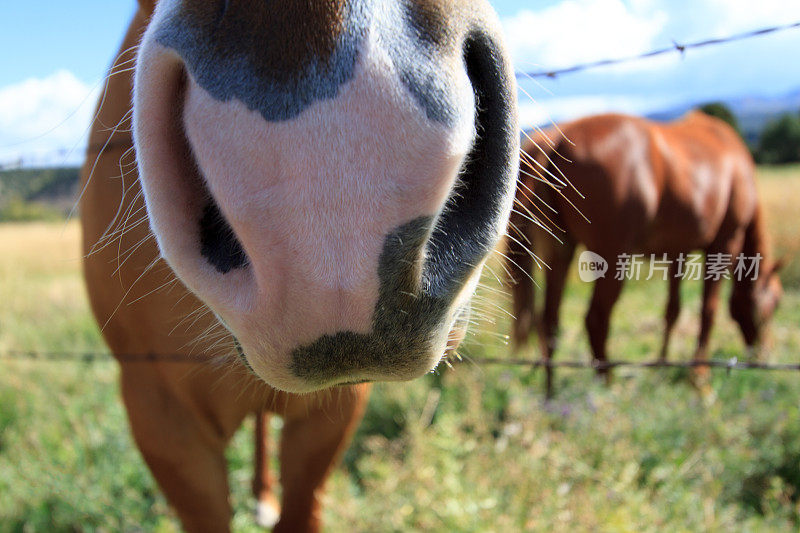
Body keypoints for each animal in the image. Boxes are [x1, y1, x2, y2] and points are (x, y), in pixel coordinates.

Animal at [510, 111, 784, 394]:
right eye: (776, 303)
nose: (763, 356)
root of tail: (554, 139)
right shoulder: (725, 242)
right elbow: (708, 311)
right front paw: (699, 377)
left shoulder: (678, 252)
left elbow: (672, 311)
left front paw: (662, 366)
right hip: (611, 256)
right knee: (595, 319)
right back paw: (606, 385)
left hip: (560, 250)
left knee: (548, 321)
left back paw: (551, 393)